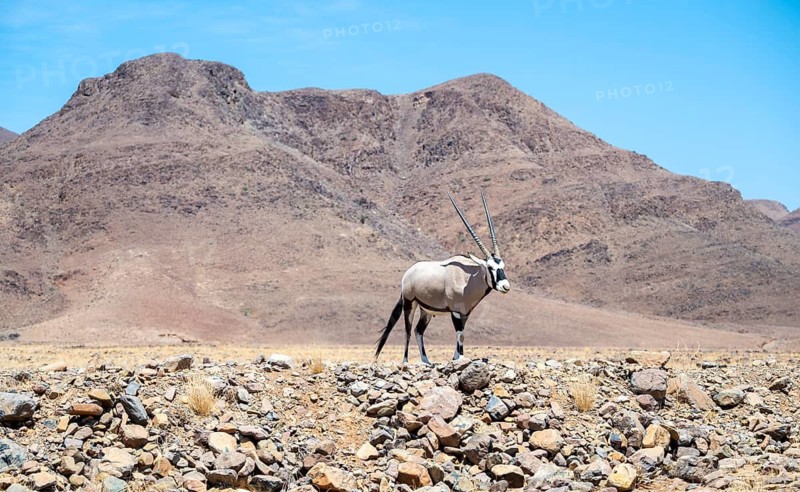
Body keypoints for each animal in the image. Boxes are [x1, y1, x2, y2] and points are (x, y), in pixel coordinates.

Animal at [375, 190, 510, 365]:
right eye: (490, 267)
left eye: (503, 266)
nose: (505, 286)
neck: (468, 279)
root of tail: (408, 273)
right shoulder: (455, 311)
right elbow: (460, 335)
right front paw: (459, 359)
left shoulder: (465, 313)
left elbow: (462, 335)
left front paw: (456, 358)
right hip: (409, 304)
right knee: (408, 330)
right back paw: (406, 361)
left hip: (425, 310)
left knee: (418, 330)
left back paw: (426, 361)